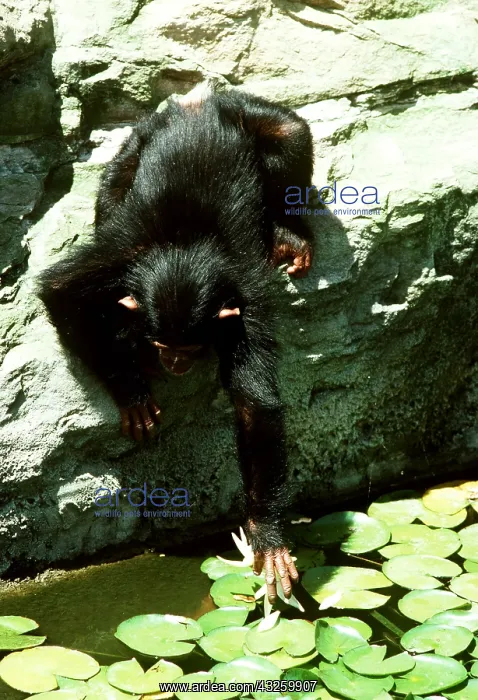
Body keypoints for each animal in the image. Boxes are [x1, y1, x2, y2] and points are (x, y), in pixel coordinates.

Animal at [38, 87, 314, 602]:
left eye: (187, 349)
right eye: (160, 341)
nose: (173, 362)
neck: (185, 252)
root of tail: (197, 102)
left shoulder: (246, 302)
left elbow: (255, 405)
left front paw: (267, 536)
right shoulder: (118, 255)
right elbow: (60, 290)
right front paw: (130, 389)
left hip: (247, 113)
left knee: (290, 133)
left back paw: (291, 234)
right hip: (138, 139)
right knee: (114, 183)